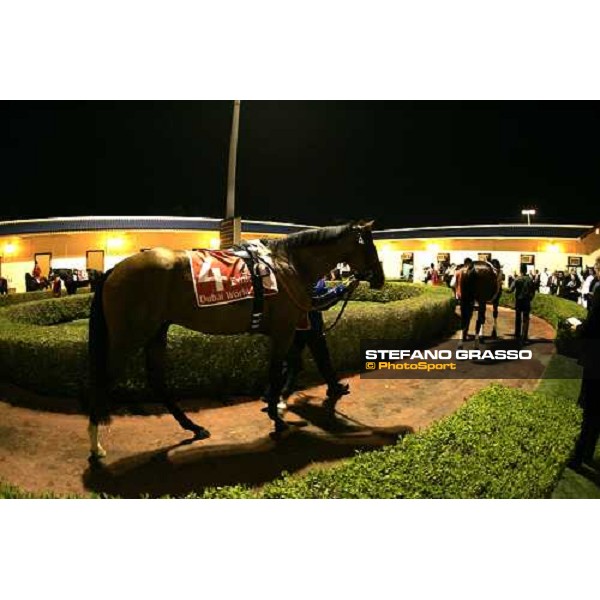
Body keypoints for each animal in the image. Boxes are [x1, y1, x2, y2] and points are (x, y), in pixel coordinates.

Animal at [86, 220, 384, 460]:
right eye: (370, 246)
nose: (380, 278)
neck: (287, 264)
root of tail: (113, 271)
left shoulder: (291, 330)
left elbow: (288, 366)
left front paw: (277, 405)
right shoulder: (284, 330)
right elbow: (276, 371)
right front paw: (278, 419)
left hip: (157, 331)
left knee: (156, 381)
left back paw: (194, 427)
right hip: (129, 337)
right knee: (102, 381)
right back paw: (96, 446)